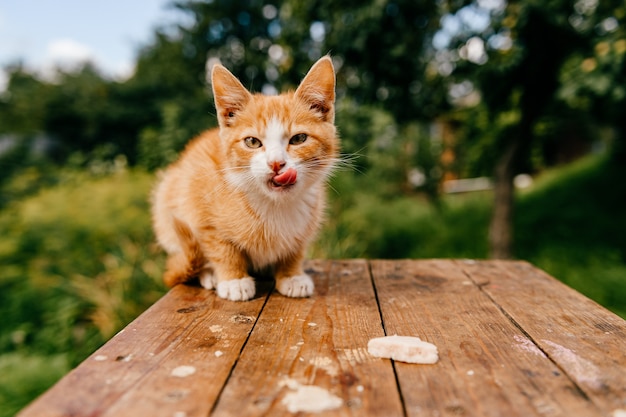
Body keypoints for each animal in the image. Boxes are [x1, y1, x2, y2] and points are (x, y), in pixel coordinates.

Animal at [150, 57, 336, 300]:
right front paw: (233, 279)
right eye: (252, 142)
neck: (275, 204)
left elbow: (295, 247)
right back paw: (209, 274)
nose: (276, 164)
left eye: (299, 139)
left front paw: (291, 274)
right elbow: (220, 246)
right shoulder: (200, 202)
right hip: (167, 197)